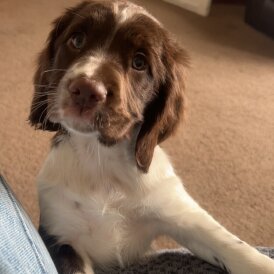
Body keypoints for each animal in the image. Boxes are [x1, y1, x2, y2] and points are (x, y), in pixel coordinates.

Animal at [29, 1, 274, 272]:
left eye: (139, 62)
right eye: (77, 40)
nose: (86, 90)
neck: (101, 159)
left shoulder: (179, 211)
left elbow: (231, 245)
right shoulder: (61, 236)